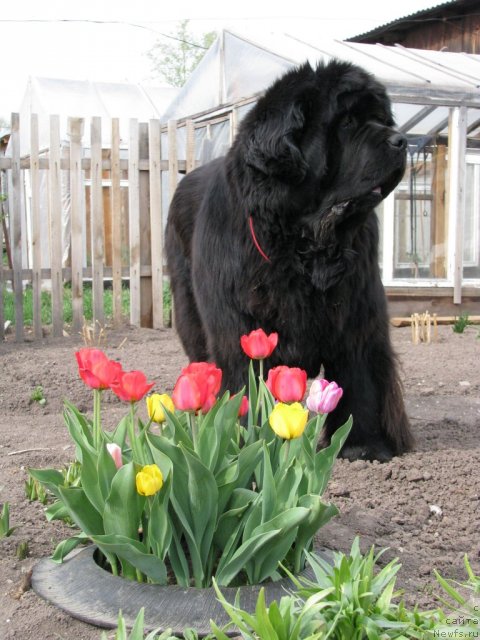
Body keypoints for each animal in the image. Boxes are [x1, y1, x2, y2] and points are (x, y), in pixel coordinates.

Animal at [165, 58, 412, 460]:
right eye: (347, 122)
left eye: (382, 119)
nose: (401, 140)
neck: (303, 246)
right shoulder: (240, 328)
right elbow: (243, 384)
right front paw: (246, 443)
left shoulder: (356, 319)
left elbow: (360, 378)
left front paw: (363, 446)